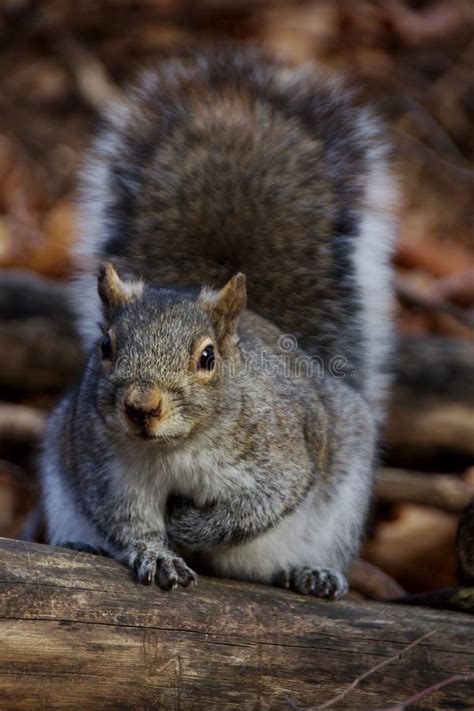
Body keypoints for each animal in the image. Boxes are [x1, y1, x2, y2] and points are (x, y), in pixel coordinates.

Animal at [40, 47, 398, 596]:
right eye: (105, 348)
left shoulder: (278, 454)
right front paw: (156, 553)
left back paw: (312, 573)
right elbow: (128, 522)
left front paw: (189, 526)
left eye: (207, 357)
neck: (175, 449)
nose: (141, 407)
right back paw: (81, 544)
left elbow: (256, 507)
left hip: (343, 504)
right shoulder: (105, 469)